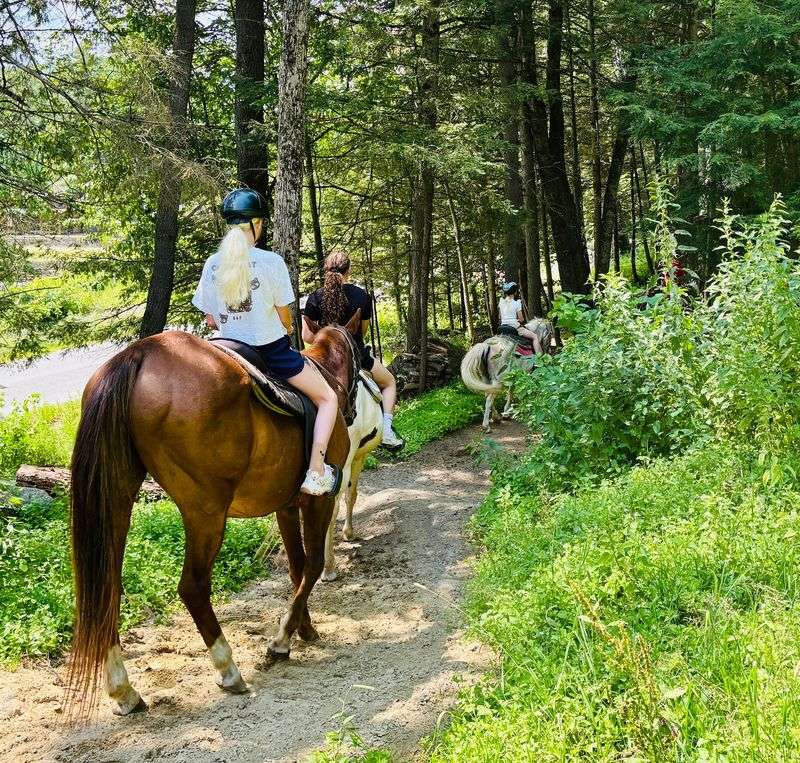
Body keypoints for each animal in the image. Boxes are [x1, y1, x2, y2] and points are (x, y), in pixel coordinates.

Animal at [67, 314, 360, 717]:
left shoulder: (285, 506)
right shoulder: (316, 502)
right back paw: (228, 668)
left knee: (107, 588)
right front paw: (283, 639)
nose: (352, 411)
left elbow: (297, 567)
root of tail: (139, 353)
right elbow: (314, 565)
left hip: (116, 503)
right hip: (205, 510)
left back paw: (123, 690)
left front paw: (304, 628)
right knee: (192, 587)